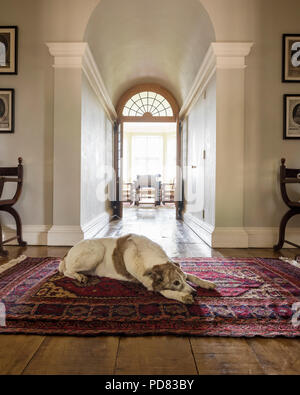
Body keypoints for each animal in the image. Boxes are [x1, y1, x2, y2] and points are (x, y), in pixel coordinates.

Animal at [59, 234, 216, 304]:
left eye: (182, 279)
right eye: (176, 283)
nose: (195, 293)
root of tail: (67, 253)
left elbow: (192, 275)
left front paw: (206, 283)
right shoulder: (148, 283)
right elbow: (164, 291)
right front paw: (182, 296)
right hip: (96, 251)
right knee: (67, 271)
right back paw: (79, 276)